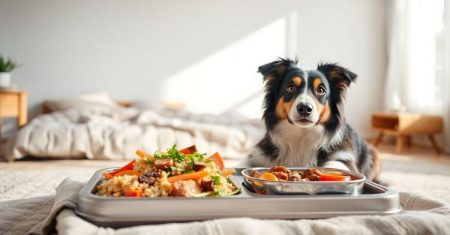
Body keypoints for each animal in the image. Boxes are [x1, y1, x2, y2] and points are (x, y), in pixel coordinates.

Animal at [250, 57, 380, 181]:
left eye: (321, 90)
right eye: (290, 87)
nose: (304, 108)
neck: (302, 135)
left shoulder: (344, 158)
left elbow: (335, 166)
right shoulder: (259, 155)